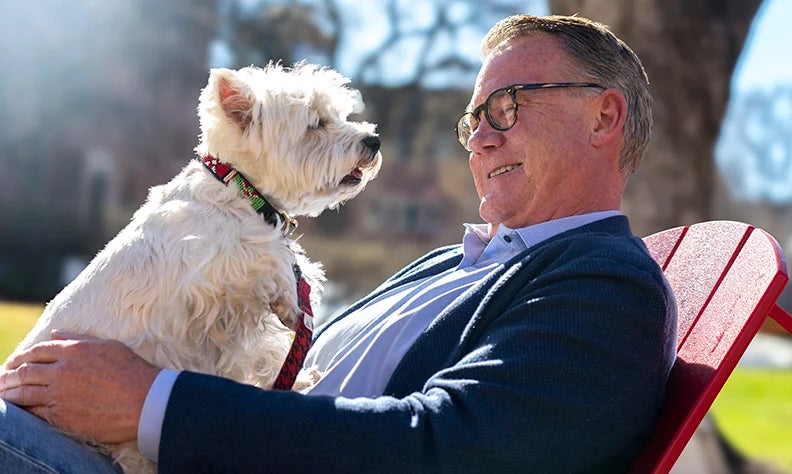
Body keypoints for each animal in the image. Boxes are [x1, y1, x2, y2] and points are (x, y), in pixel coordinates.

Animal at [8, 62, 380, 470]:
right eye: (316, 124)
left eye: (339, 115)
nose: (373, 141)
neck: (239, 188)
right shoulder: (208, 275)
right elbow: (266, 263)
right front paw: (290, 298)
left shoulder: (228, 325)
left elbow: (260, 351)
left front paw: (298, 378)